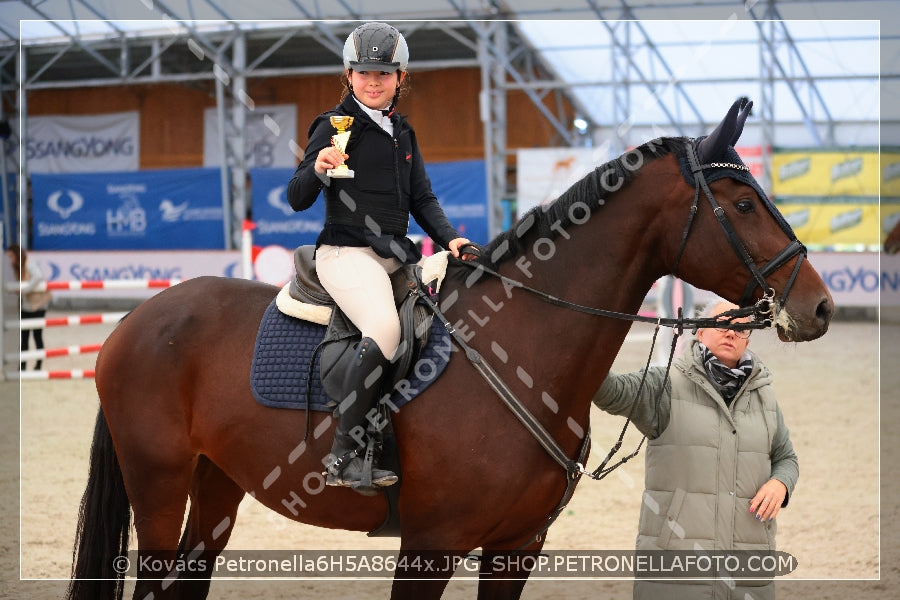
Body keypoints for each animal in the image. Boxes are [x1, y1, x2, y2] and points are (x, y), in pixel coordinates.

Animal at [67, 99, 832, 600]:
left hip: (216, 480)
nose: (819, 306)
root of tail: (139, 319)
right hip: (158, 481)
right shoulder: (430, 547)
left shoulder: (516, 548)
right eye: (742, 204)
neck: (520, 345)